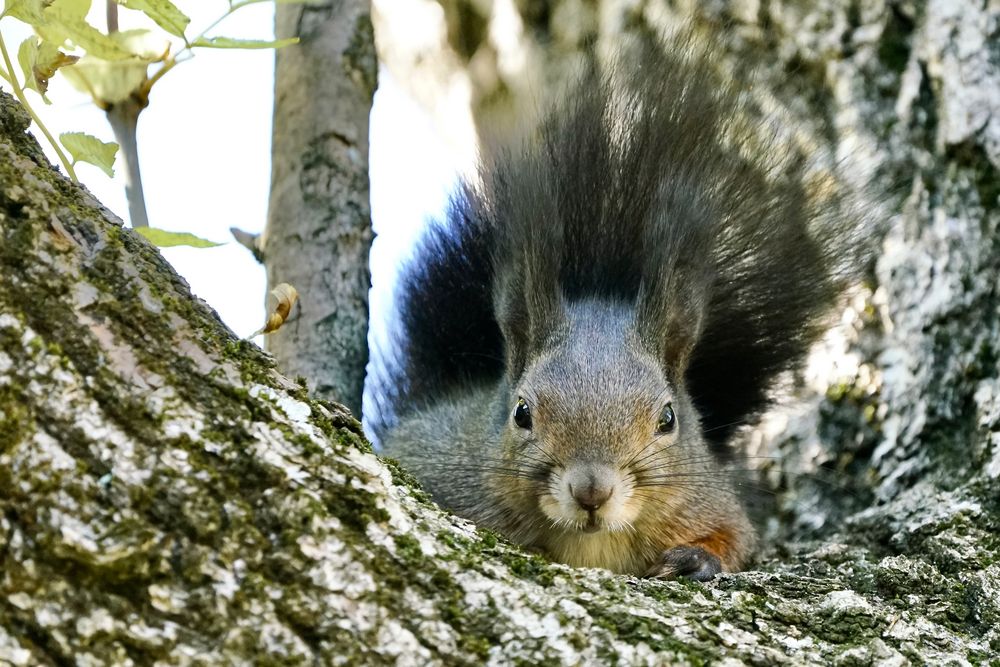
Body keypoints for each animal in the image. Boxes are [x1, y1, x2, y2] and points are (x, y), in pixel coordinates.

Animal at [368, 35, 868, 580]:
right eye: (521, 412)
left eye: (668, 418)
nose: (592, 491)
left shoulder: (712, 500)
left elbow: (736, 539)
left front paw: (698, 557)